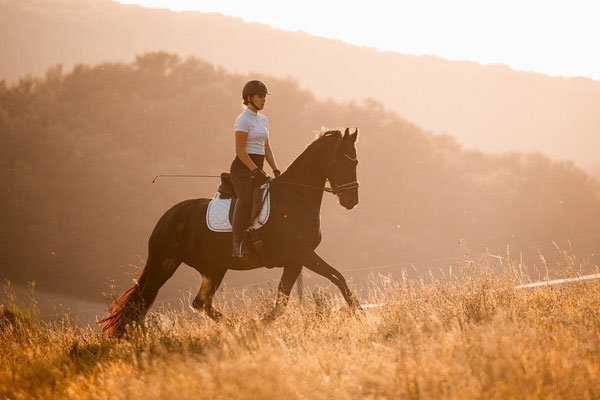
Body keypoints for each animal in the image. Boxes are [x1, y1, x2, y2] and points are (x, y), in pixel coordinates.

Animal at [98, 127, 360, 334]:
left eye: (356, 162)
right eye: (344, 160)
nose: (351, 201)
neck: (295, 196)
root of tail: (167, 216)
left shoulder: (295, 260)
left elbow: (283, 301)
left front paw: (256, 324)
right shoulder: (302, 253)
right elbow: (337, 276)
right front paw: (358, 312)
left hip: (213, 268)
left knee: (200, 303)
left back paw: (234, 326)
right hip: (164, 264)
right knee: (142, 301)